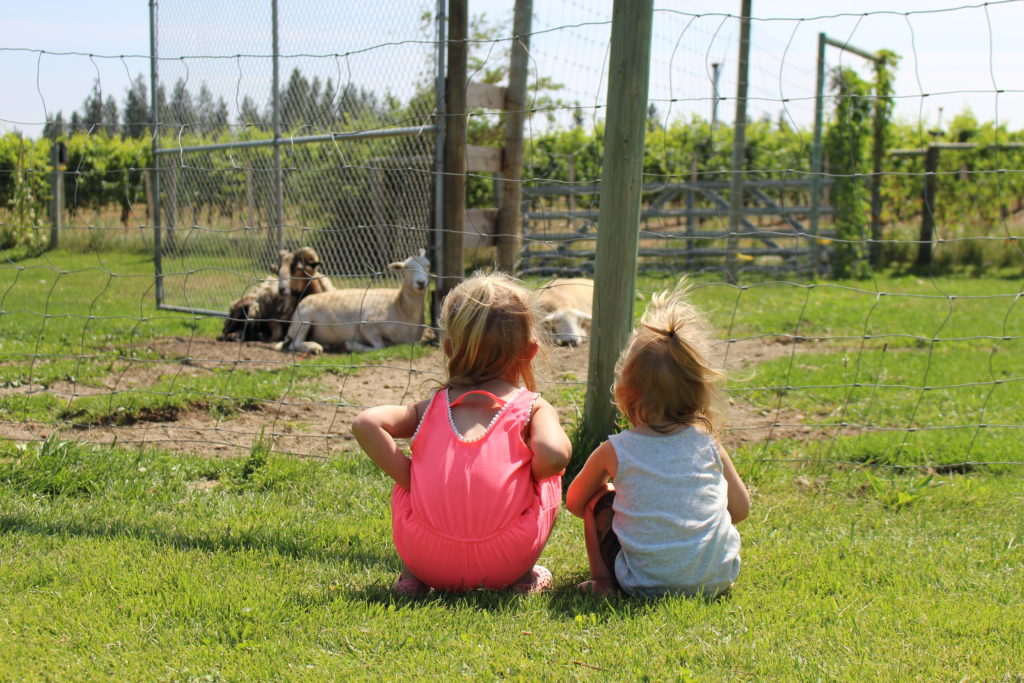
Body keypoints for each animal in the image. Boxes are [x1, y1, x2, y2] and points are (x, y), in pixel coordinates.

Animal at [274, 250, 430, 358]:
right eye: (406, 268)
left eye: (428, 266)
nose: (421, 283)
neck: (399, 306)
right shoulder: (366, 324)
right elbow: (380, 346)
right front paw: (350, 345)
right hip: (304, 320)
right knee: (295, 344)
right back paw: (315, 347)